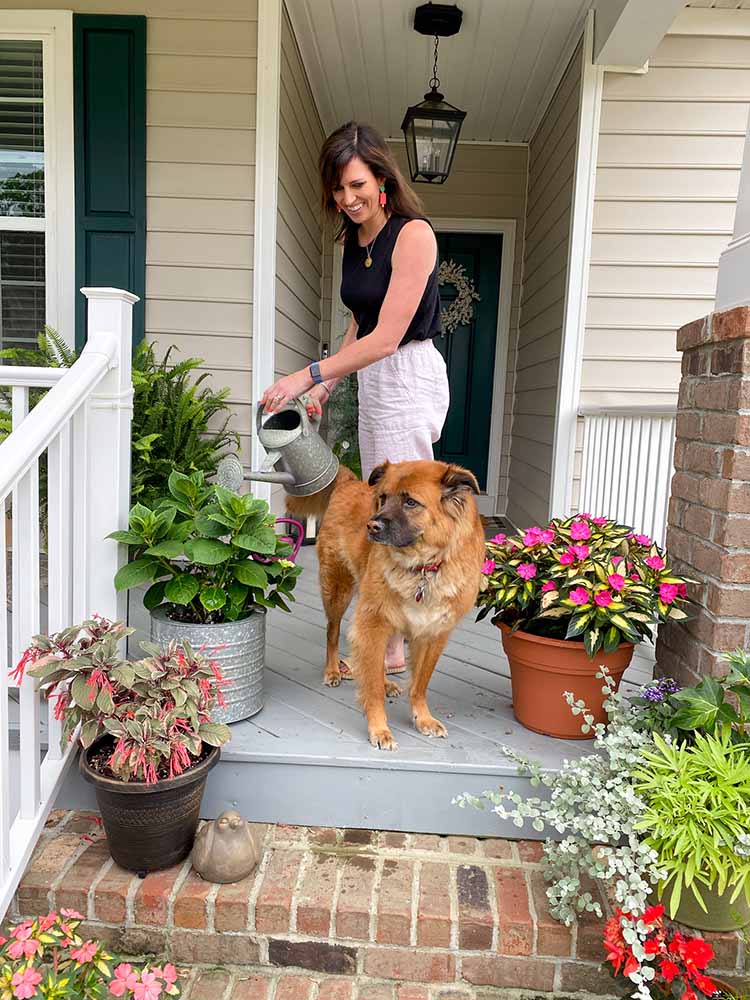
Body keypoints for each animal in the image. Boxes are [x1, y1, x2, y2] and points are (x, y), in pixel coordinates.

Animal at [288, 460, 488, 752]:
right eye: (382, 498)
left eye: (411, 502)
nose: (371, 526)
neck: (423, 567)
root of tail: (350, 482)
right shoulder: (372, 622)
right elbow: (371, 689)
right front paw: (379, 728)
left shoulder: (435, 633)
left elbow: (420, 683)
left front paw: (422, 718)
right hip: (338, 590)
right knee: (332, 632)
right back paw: (333, 670)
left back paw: (385, 681)